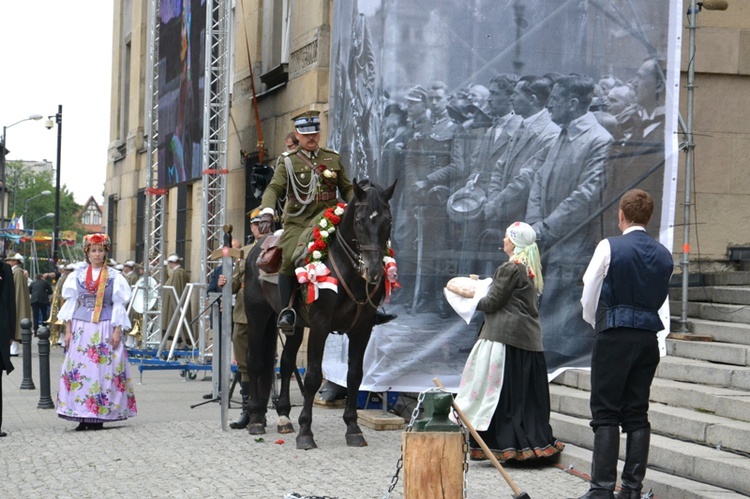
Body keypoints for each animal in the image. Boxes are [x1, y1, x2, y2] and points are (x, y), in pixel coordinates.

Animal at [245, 179, 400, 450]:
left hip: (294, 325)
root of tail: (257, 248)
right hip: (257, 317)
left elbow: (354, 376)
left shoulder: (362, 330)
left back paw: (283, 417)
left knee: (286, 362)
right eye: (359, 220)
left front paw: (353, 428)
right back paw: (255, 419)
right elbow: (313, 376)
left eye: (388, 220)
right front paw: (306, 432)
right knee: (255, 361)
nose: (373, 271)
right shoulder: (320, 326)